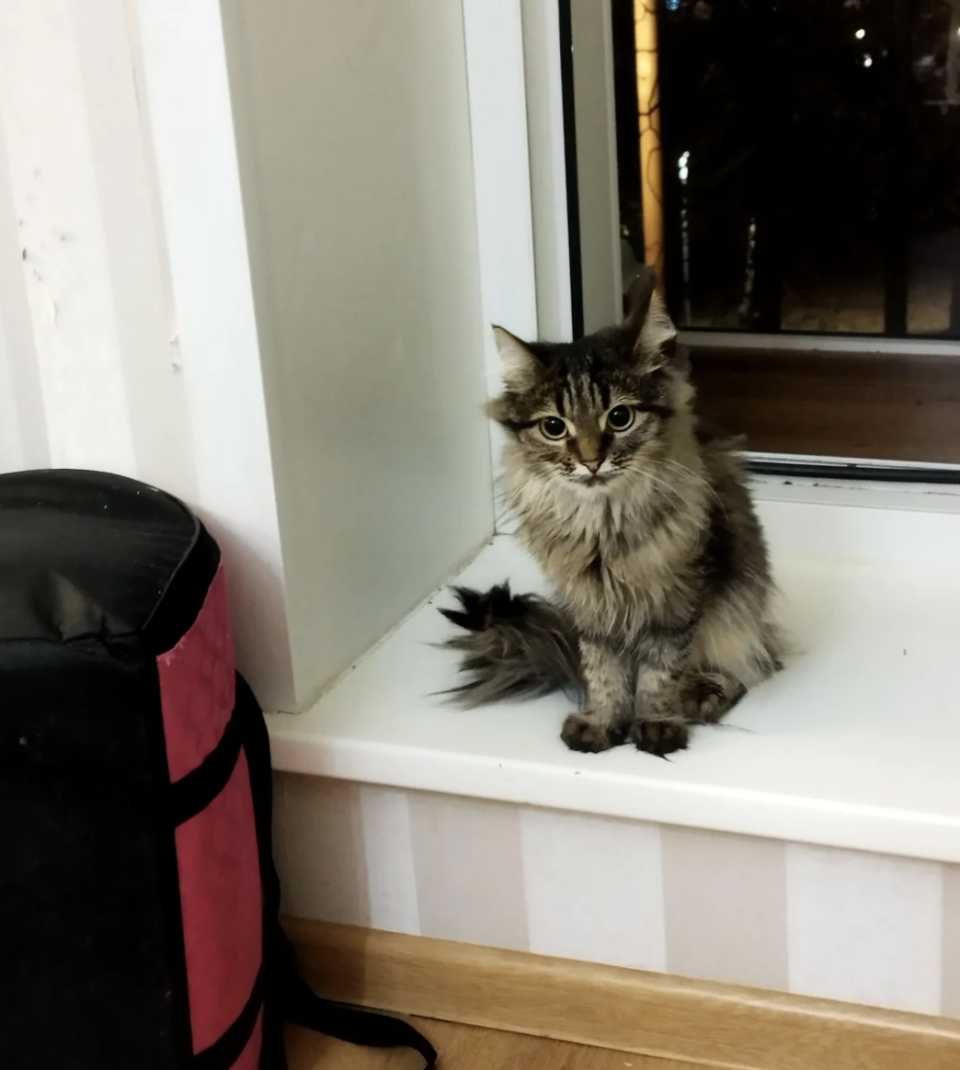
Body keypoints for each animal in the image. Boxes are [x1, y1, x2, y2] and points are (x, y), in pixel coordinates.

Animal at [440, 265, 779, 753]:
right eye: (554, 427)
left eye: (620, 418)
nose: (590, 460)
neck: (603, 525)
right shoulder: (591, 608)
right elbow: (603, 671)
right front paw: (602, 723)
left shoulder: (674, 599)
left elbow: (660, 671)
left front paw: (655, 724)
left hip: (739, 611)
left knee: (754, 662)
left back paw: (702, 694)